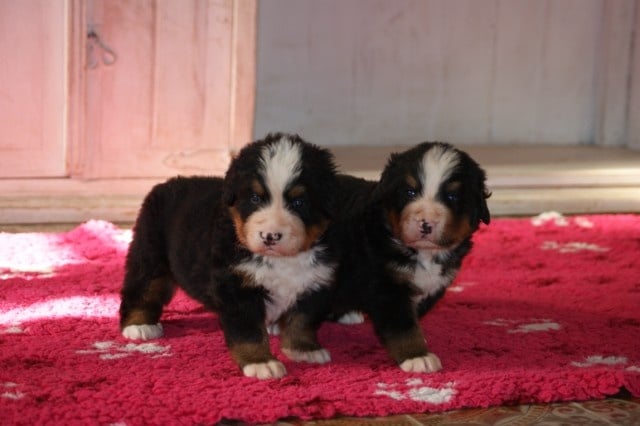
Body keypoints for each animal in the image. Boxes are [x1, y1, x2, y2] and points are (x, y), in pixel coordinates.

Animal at [120, 133, 340, 380]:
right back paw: (139, 325)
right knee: (142, 288)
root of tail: (166, 183)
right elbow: (249, 331)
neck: (281, 261)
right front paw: (260, 362)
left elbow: (302, 321)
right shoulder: (237, 286)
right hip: (149, 253)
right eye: (255, 198)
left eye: (299, 202)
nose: (270, 236)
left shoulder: (315, 282)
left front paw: (304, 349)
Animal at [328, 142, 492, 372]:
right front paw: (416, 356)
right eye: (410, 192)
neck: (424, 254)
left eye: (452, 197)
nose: (426, 223)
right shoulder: (387, 286)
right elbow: (403, 326)